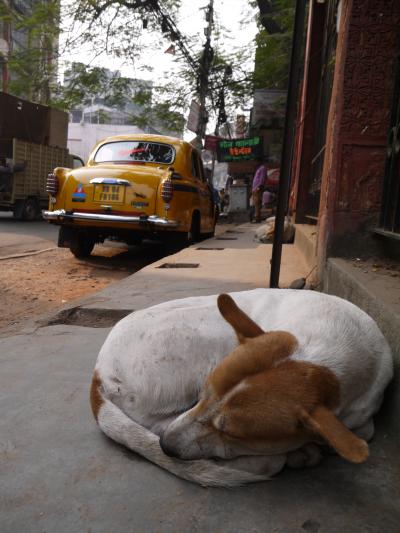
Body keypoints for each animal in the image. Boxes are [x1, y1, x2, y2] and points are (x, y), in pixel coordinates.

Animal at [89, 288, 392, 484]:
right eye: (203, 393)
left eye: (230, 432)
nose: (166, 448)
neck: (327, 349)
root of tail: (99, 370)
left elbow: (364, 429)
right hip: (212, 335)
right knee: (156, 425)